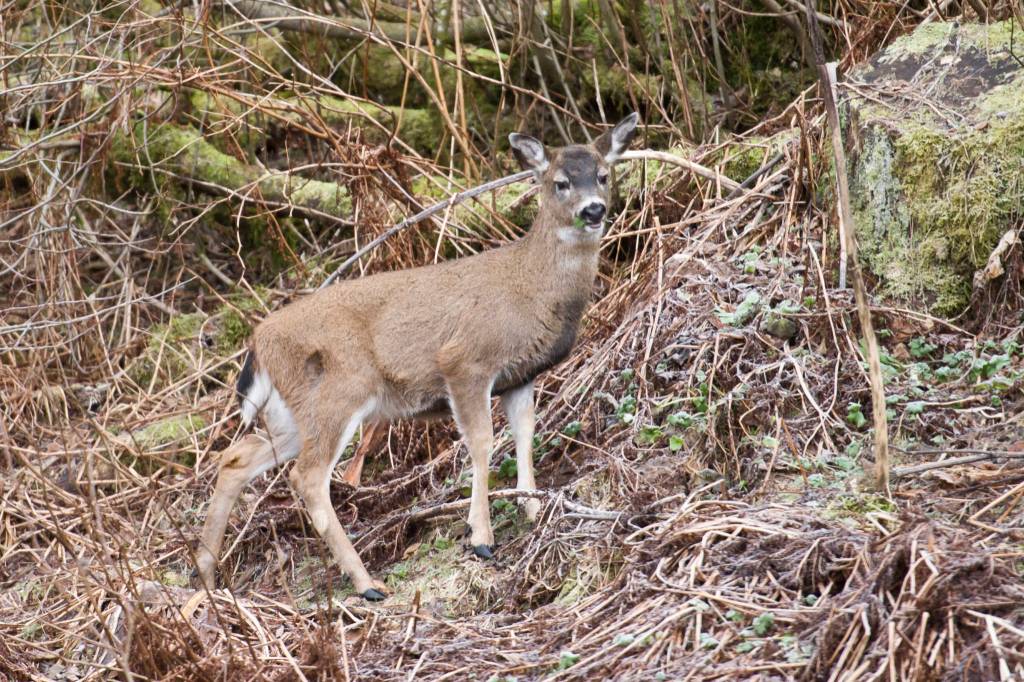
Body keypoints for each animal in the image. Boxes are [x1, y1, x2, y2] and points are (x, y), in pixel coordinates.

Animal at [194, 113, 640, 601]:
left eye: (604, 175)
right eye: (560, 182)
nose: (593, 210)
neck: (530, 287)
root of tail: (259, 341)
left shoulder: (519, 376)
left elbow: (525, 434)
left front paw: (532, 509)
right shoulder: (465, 360)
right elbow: (481, 441)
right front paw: (481, 537)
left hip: (292, 411)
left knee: (237, 457)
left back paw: (207, 573)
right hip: (340, 391)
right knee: (307, 477)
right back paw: (367, 583)